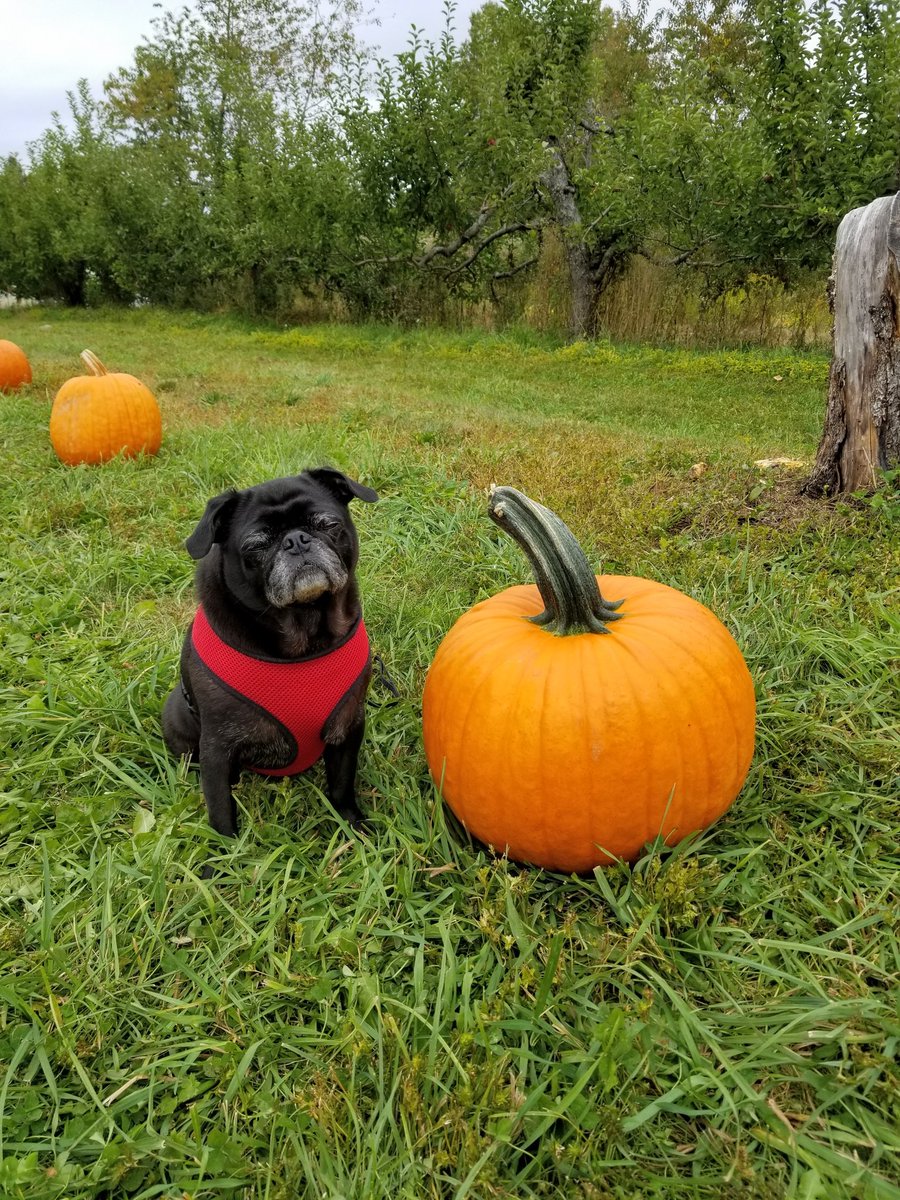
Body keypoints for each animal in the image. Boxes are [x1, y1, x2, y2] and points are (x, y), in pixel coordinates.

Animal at [164, 463, 379, 840]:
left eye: (328, 524)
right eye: (257, 546)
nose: (296, 540)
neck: (305, 632)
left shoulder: (348, 726)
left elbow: (341, 785)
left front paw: (352, 826)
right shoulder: (216, 749)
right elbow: (220, 810)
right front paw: (225, 853)